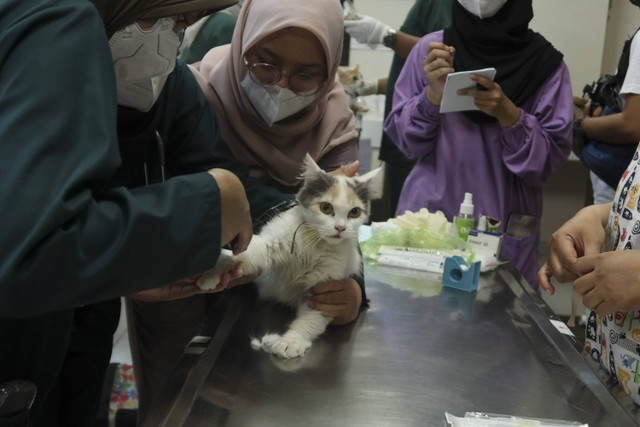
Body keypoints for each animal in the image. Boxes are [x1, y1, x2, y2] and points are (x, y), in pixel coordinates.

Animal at [198, 155, 382, 360]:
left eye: (354, 212)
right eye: (326, 208)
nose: (340, 228)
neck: (315, 243)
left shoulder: (323, 292)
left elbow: (308, 322)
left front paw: (291, 342)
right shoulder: (269, 244)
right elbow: (241, 255)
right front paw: (210, 274)